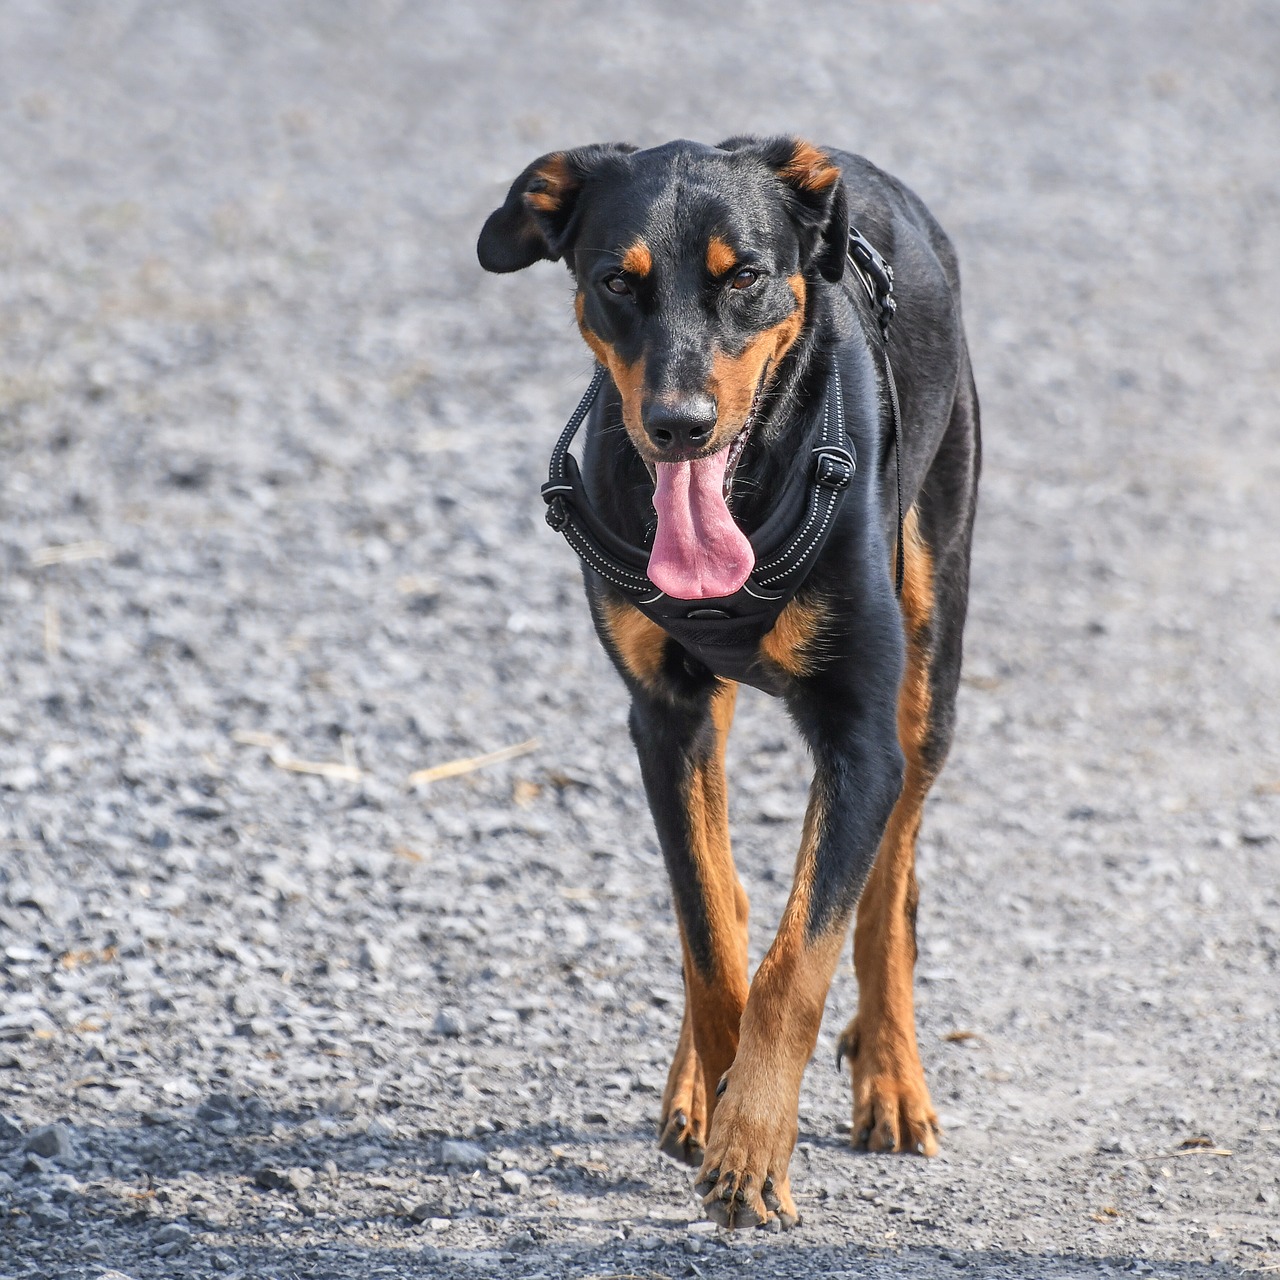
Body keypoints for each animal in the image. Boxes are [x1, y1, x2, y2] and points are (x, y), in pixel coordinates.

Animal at [481, 137, 977, 1228]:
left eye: (743, 276)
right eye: (615, 282)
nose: (677, 424)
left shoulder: (860, 734)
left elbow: (801, 959)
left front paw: (752, 1149)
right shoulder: (664, 717)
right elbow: (710, 928)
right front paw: (717, 1100)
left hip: (930, 669)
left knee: (889, 891)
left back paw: (890, 1074)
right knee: (732, 892)